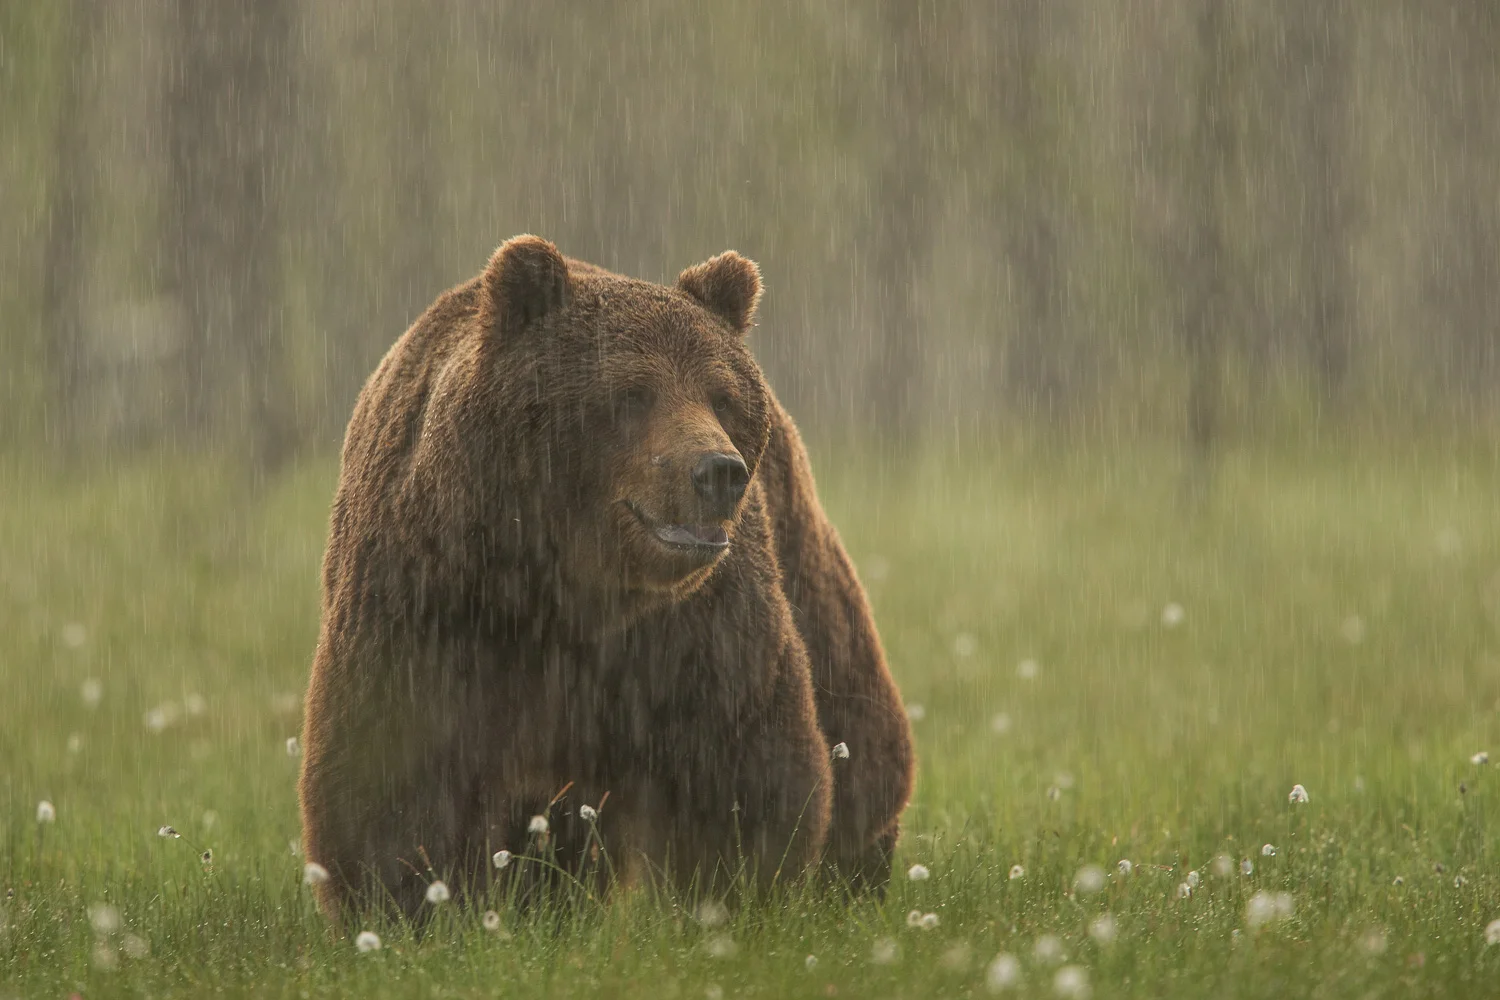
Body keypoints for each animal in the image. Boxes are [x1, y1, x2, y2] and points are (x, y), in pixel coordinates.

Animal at [297, 235, 914, 920]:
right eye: (632, 393)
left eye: (721, 395)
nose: (718, 471)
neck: (561, 589)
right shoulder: (429, 595)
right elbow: (392, 765)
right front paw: (409, 905)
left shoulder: (694, 626)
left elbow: (737, 752)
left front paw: (727, 895)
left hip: (802, 553)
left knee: (860, 730)